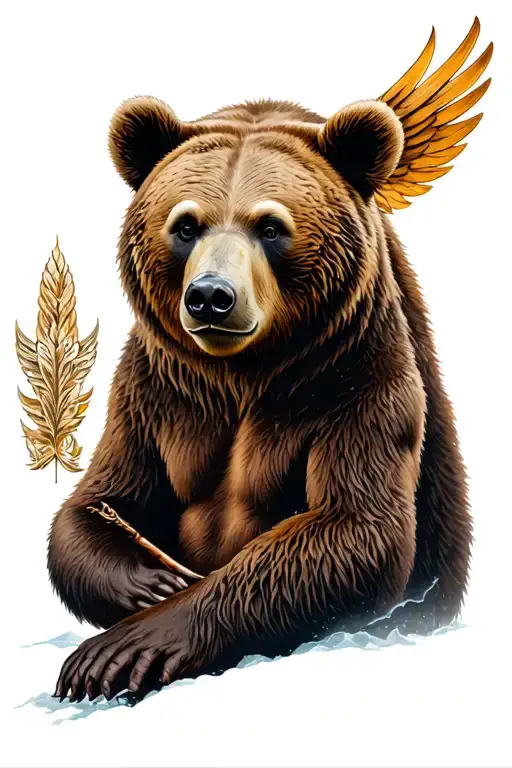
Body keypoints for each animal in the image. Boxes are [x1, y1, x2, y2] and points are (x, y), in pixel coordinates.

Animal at [49, 19, 491, 704]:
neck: (245, 373)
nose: (210, 296)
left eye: (271, 226)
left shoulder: (354, 367)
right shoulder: (158, 382)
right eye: (185, 224)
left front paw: (128, 646)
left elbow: (355, 526)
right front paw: (151, 581)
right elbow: (97, 501)